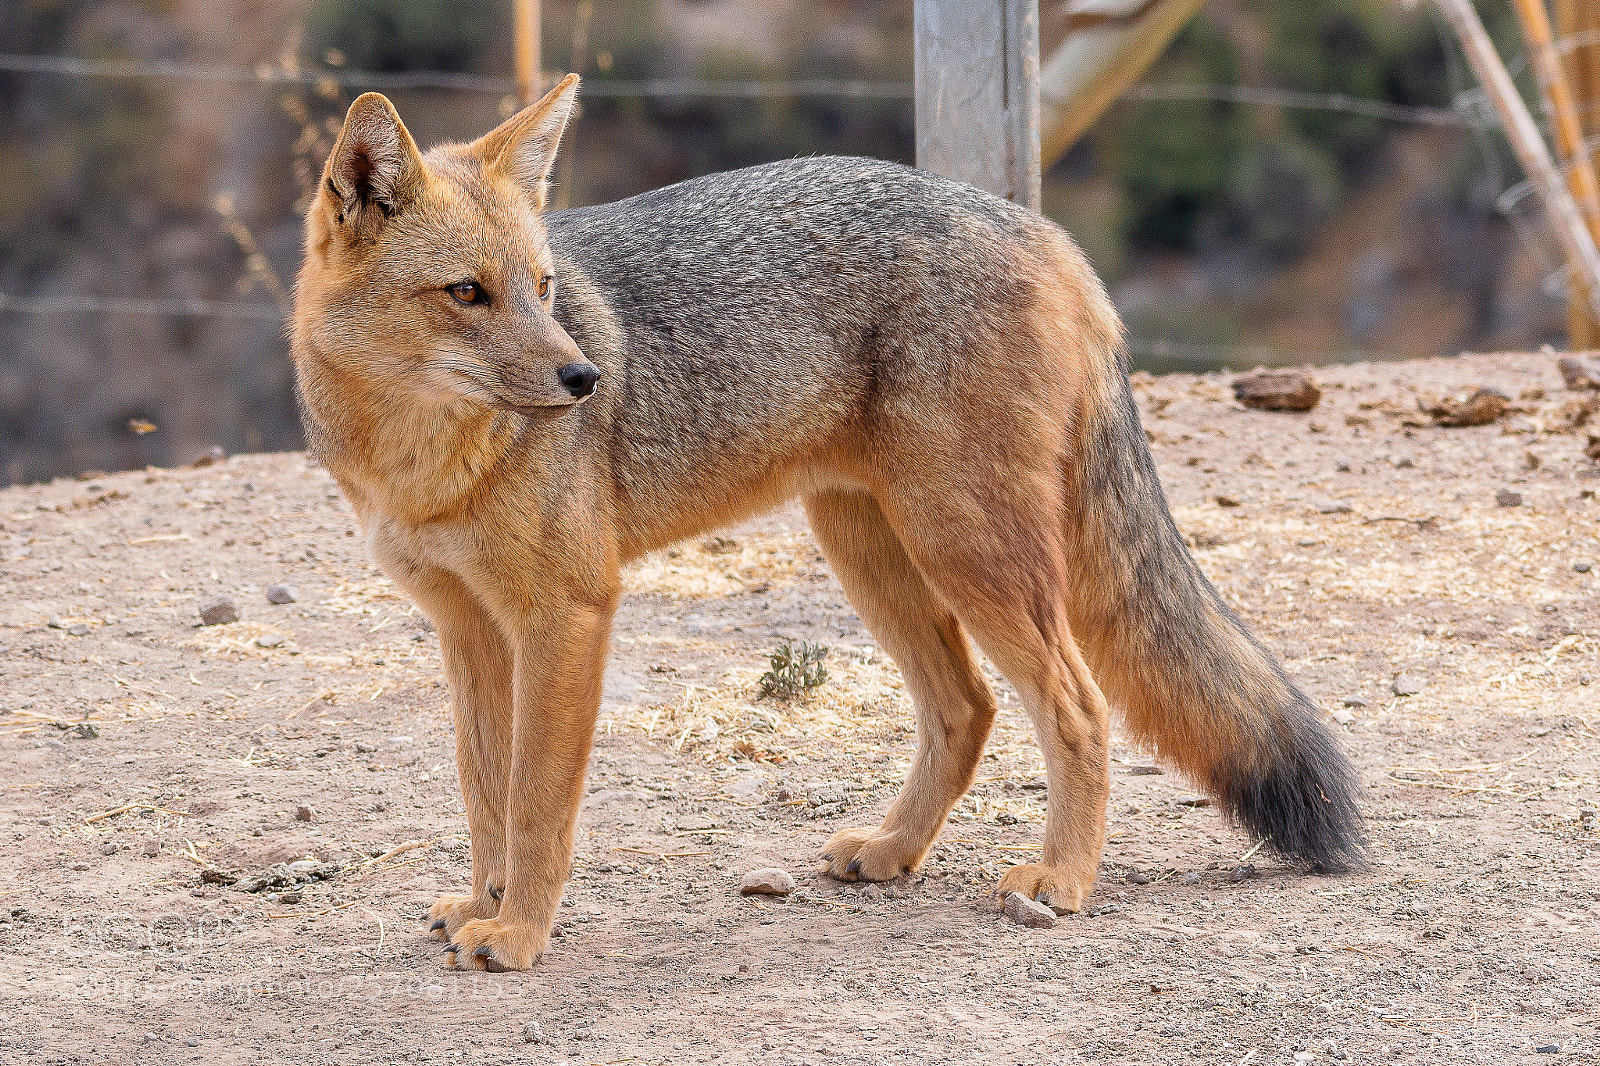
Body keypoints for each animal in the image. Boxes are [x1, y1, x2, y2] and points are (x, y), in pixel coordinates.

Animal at [290, 74, 1363, 972]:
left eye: (545, 289)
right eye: (467, 293)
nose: (585, 378)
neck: (419, 465)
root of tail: (1038, 227)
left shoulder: (568, 614)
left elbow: (536, 802)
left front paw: (517, 934)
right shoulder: (468, 628)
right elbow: (484, 793)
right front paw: (484, 904)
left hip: (966, 550)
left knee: (1079, 706)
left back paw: (1062, 880)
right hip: (872, 551)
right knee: (968, 709)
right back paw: (893, 850)